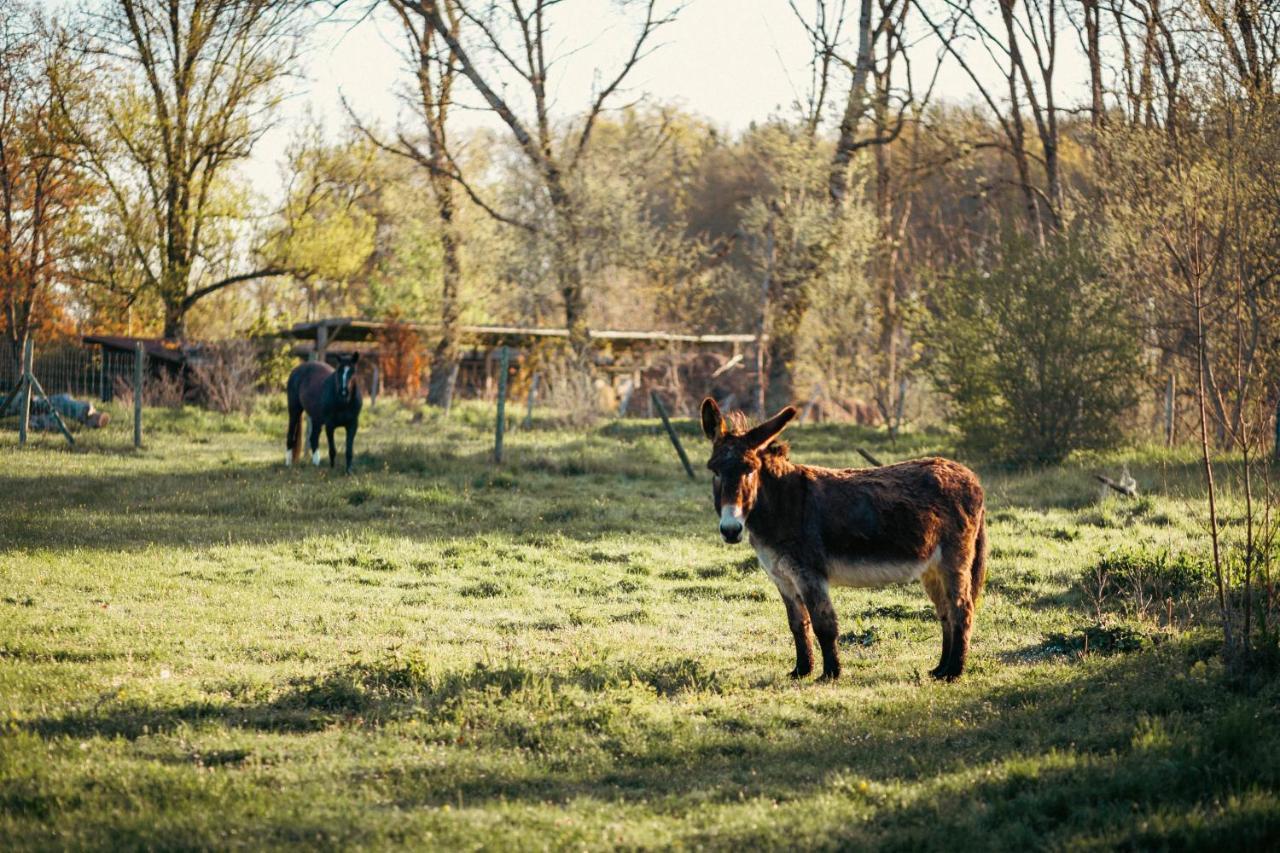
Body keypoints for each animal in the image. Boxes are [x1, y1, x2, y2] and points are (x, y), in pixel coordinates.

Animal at [706, 394, 983, 681]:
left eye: (750, 471)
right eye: (715, 472)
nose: (731, 530)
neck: (782, 505)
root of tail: (970, 475)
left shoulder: (809, 574)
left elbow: (823, 623)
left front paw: (830, 673)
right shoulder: (782, 578)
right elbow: (798, 624)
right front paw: (801, 670)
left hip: (953, 561)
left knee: (961, 609)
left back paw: (954, 671)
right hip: (932, 568)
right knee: (945, 612)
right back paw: (940, 669)